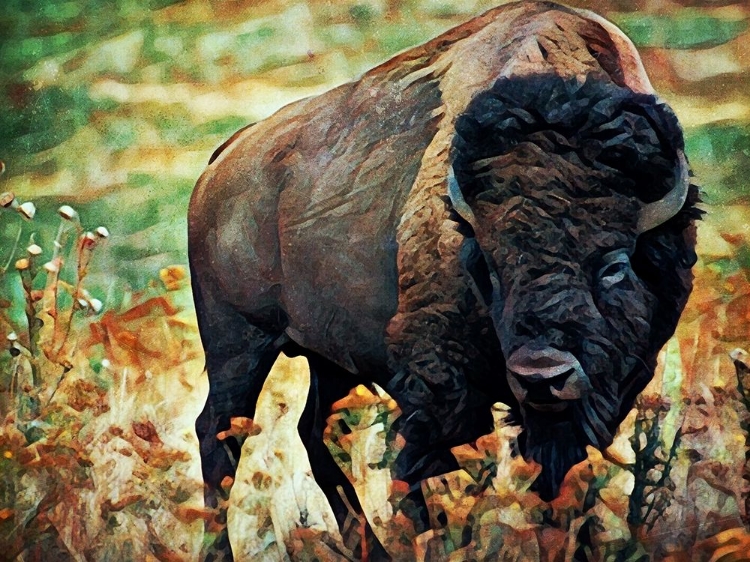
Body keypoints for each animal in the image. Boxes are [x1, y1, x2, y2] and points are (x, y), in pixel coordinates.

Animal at [187, 2, 700, 556]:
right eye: (490, 266)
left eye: (614, 264)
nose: (542, 373)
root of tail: (222, 160)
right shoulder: (437, 389)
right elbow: (421, 474)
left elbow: (560, 481)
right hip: (238, 344)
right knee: (218, 432)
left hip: (329, 358)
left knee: (311, 429)